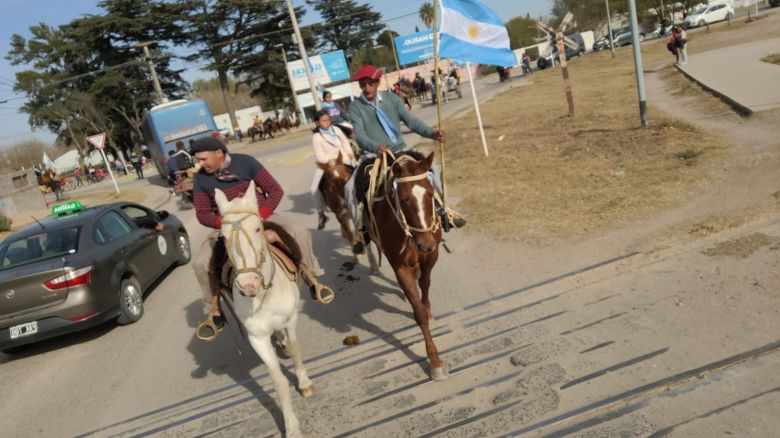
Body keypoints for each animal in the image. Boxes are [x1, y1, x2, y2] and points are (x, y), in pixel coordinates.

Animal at [213, 180, 314, 436]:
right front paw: (292, 426)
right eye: (224, 238)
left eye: (258, 228)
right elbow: (278, 381)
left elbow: (295, 348)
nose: (248, 284)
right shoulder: (257, 337)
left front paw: (304, 383)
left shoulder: (291, 319)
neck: (263, 296)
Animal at [356, 151, 448, 380]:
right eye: (404, 199)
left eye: (430, 193)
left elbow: (425, 285)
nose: (426, 244)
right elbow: (419, 312)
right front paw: (434, 362)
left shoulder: (430, 257)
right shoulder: (401, 268)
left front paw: (428, 310)